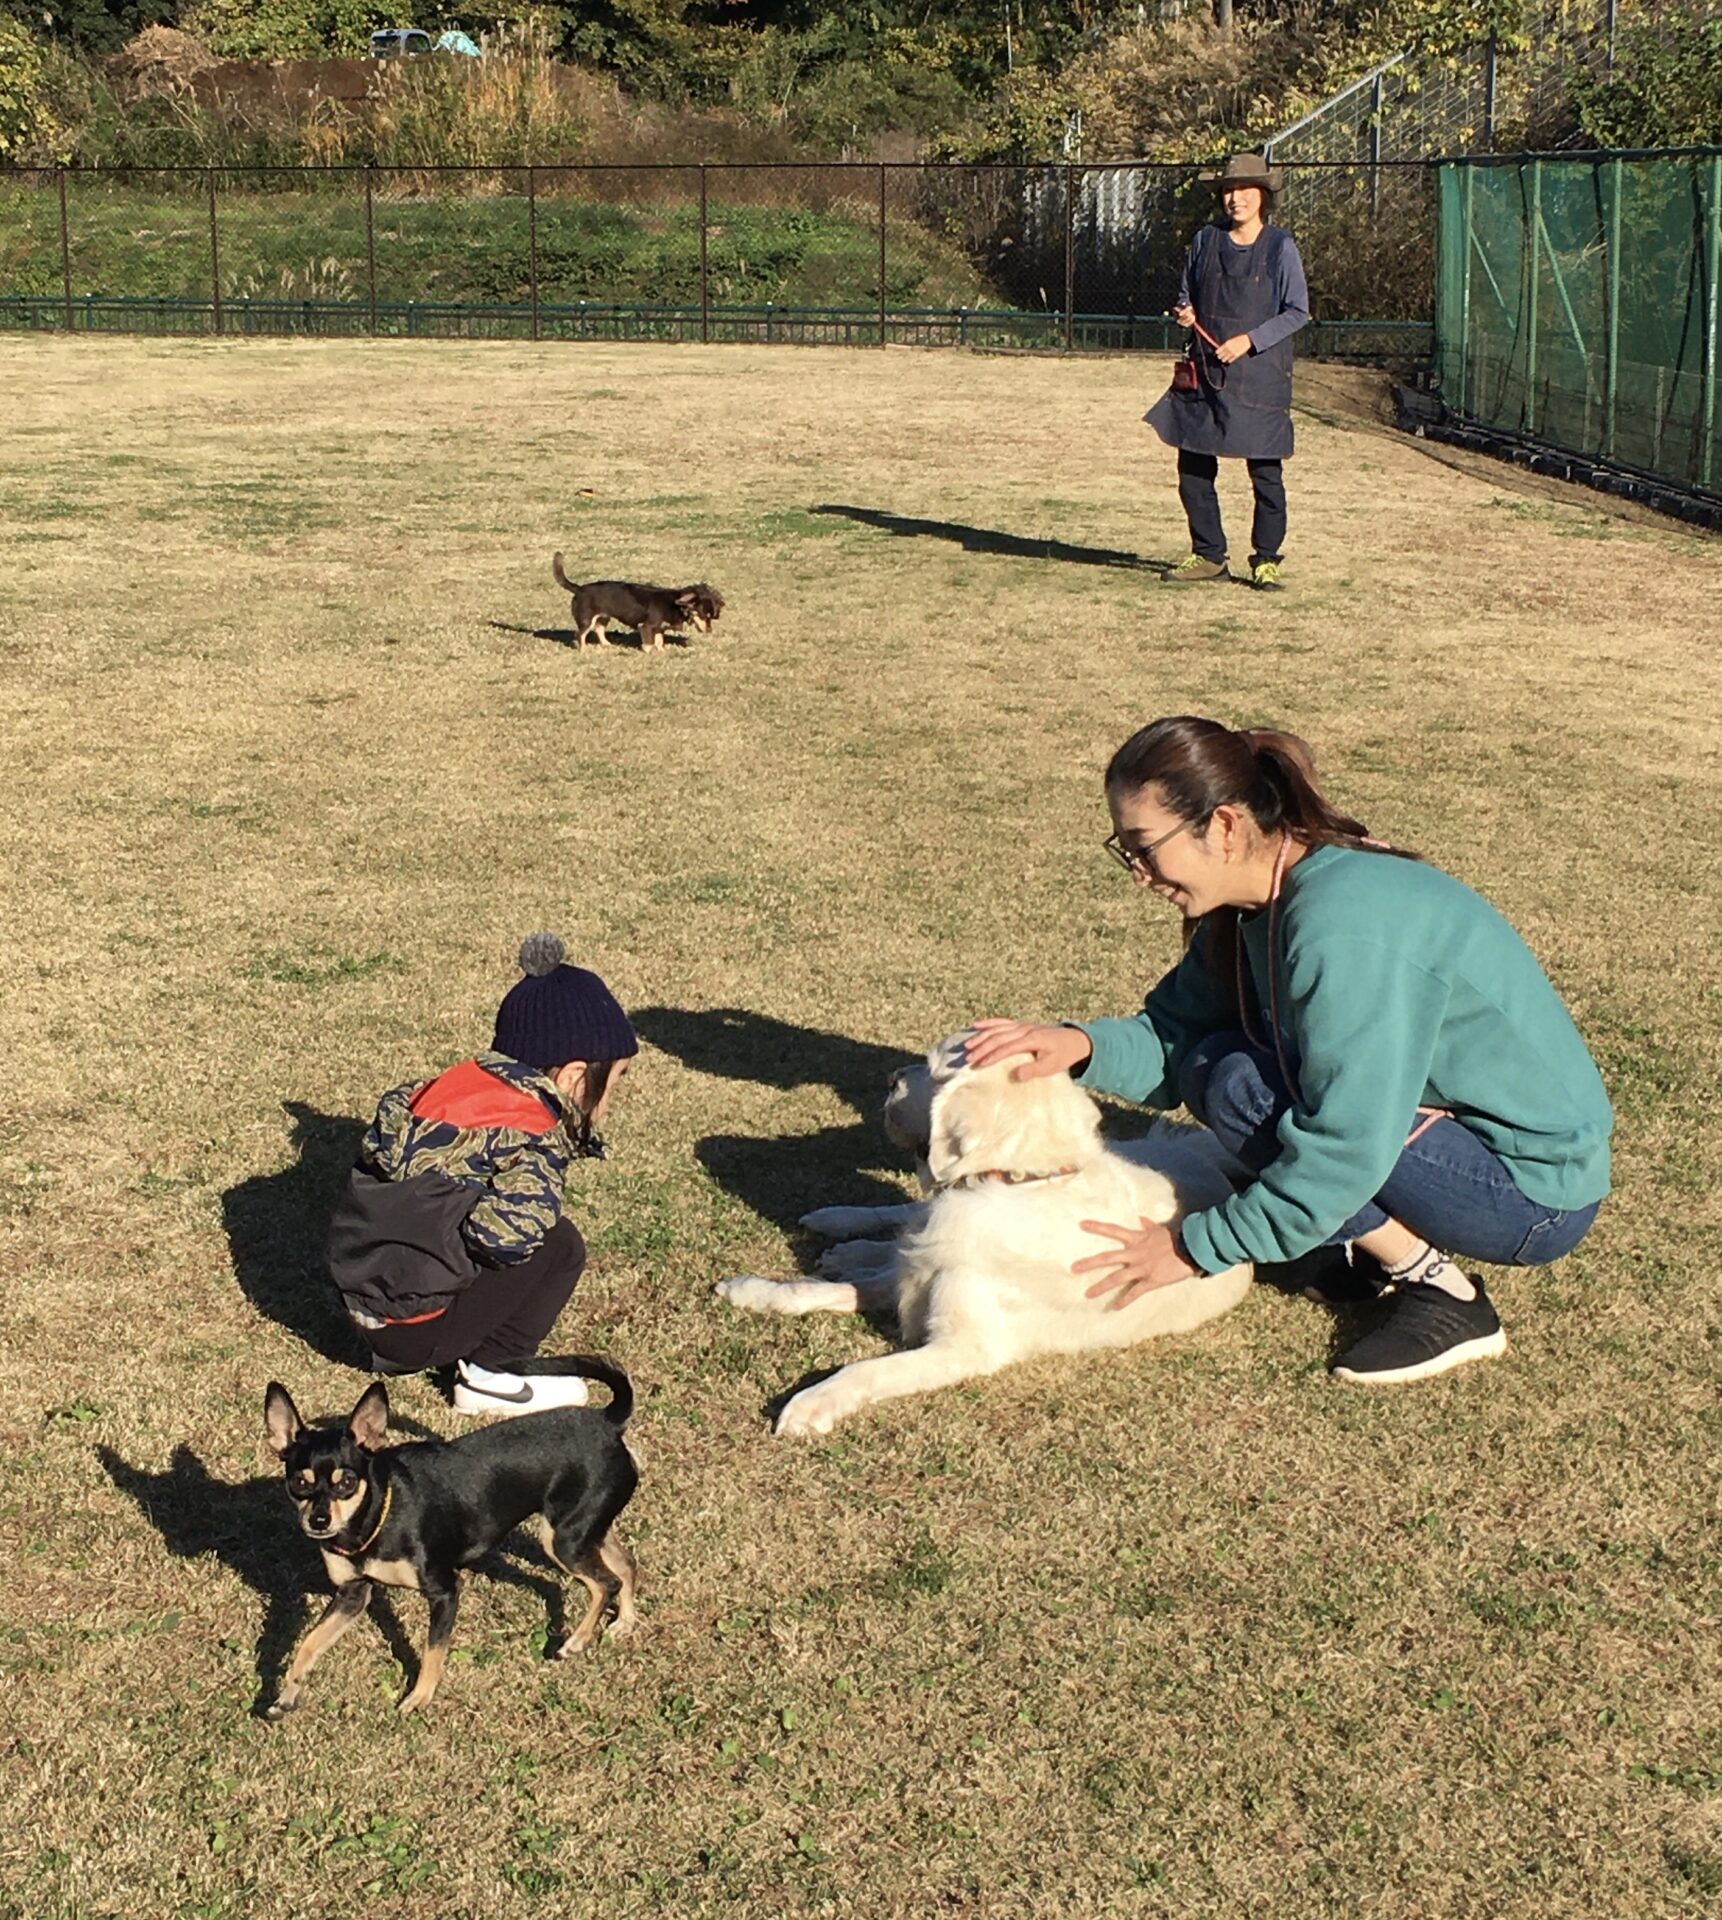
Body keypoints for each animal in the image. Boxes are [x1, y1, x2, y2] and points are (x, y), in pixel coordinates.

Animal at [262, 1361, 638, 1718]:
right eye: (299, 1483)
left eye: (346, 1483)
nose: (318, 1519)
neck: (375, 1519)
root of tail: (608, 1422)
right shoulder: (352, 1595)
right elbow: (309, 1643)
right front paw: (286, 1695)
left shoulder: (444, 1592)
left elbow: (433, 1651)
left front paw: (419, 1697)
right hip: (585, 1530)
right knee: (625, 1565)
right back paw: (624, 1623)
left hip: (563, 1541)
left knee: (606, 1583)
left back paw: (576, 1641)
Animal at [552, 554, 723, 652]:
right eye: (704, 615)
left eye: (711, 617)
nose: (709, 631)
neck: (676, 604)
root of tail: (579, 588)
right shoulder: (646, 626)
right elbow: (649, 644)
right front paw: (651, 651)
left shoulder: (658, 628)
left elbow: (659, 641)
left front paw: (661, 651)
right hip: (586, 619)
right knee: (580, 634)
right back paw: (584, 650)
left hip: (604, 616)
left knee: (599, 629)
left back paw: (607, 644)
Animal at [717, 1034, 1252, 1436]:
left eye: (934, 1069)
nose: (891, 1078)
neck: (1020, 1180)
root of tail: (1207, 1163)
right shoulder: (922, 1277)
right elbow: (810, 1291)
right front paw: (751, 1291)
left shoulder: (963, 1344)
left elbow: (866, 1366)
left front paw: (811, 1404)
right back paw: (841, 1227)